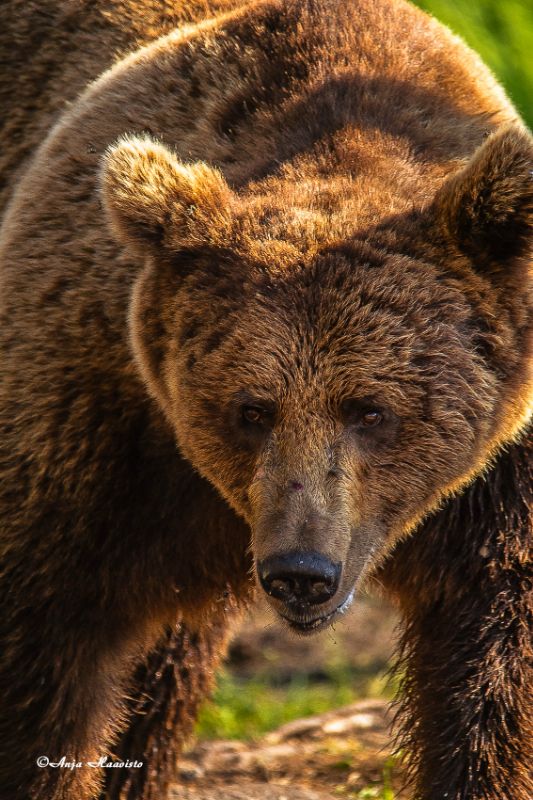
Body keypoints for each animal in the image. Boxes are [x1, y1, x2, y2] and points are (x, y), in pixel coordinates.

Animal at [0, 0, 531, 799]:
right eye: (251, 410)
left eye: (369, 410)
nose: (302, 574)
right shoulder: (92, 414)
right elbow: (45, 648)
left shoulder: (495, 496)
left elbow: (493, 673)